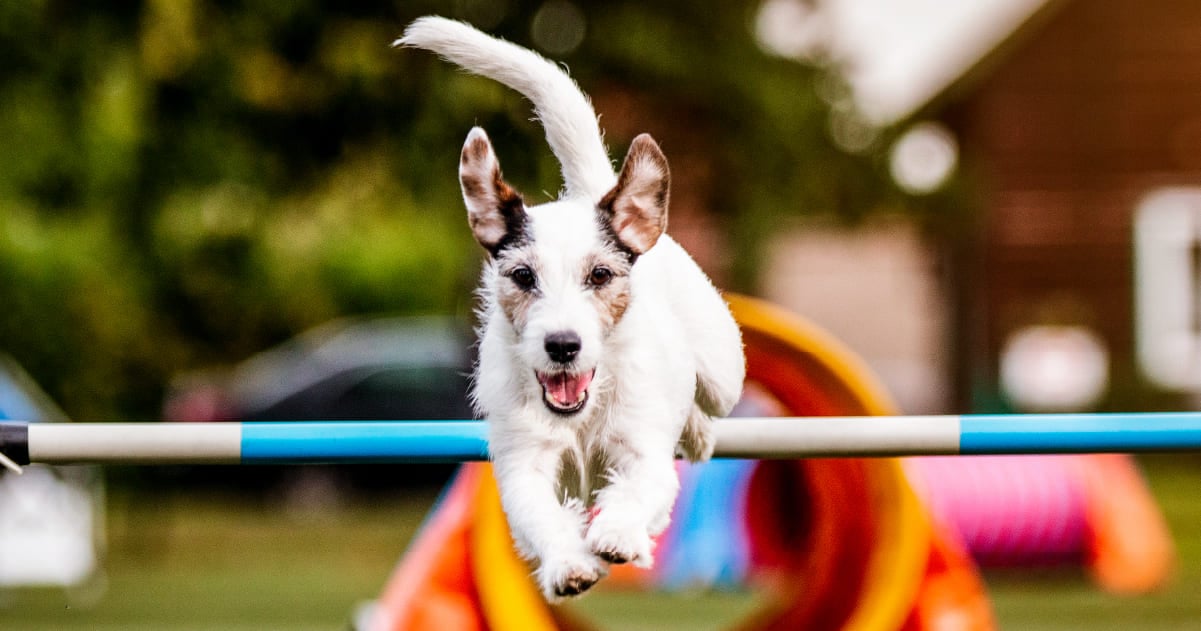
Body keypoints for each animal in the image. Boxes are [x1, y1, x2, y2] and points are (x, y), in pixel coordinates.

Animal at [398, 16, 744, 600]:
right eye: (523, 276)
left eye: (599, 275)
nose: (562, 345)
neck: (582, 414)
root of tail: (591, 191)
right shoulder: (524, 463)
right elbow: (539, 514)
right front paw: (570, 564)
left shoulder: (642, 448)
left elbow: (638, 487)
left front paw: (618, 535)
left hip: (724, 371)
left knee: (709, 400)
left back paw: (699, 433)